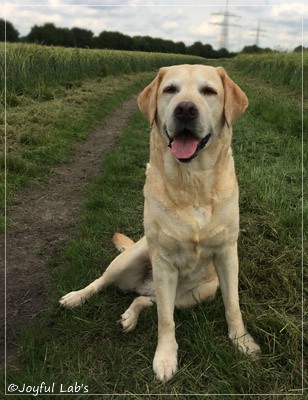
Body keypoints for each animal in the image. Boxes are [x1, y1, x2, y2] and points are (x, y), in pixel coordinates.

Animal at [59, 65, 260, 382]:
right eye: (170, 90)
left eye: (209, 91)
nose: (185, 109)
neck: (192, 183)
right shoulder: (163, 261)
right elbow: (165, 321)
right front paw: (166, 358)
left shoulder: (227, 253)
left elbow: (233, 305)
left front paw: (242, 342)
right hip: (133, 258)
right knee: (104, 284)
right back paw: (76, 298)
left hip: (198, 294)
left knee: (148, 301)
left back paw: (129, 316)